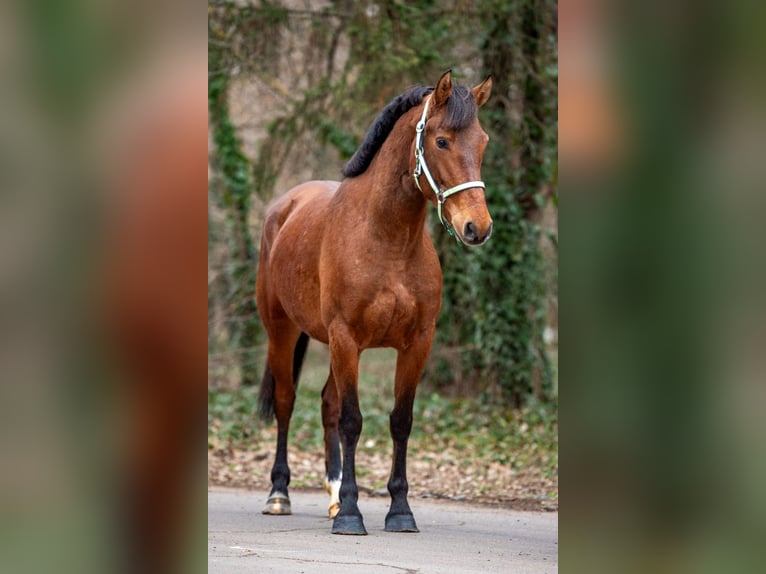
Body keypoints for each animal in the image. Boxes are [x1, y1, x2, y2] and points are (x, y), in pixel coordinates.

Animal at [256, 70, 493, 535]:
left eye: (483, 141)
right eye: (442, 141)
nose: (478, 227)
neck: (386, 239)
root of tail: (284, 206)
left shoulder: (416, 343)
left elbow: (400, 421)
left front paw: (399, 510)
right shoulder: (347, 338)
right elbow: (352, 421)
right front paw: (352, 513)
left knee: (326, 404)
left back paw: (332, 495)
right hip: (283, 332)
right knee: (287, 402)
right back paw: (280, 494)